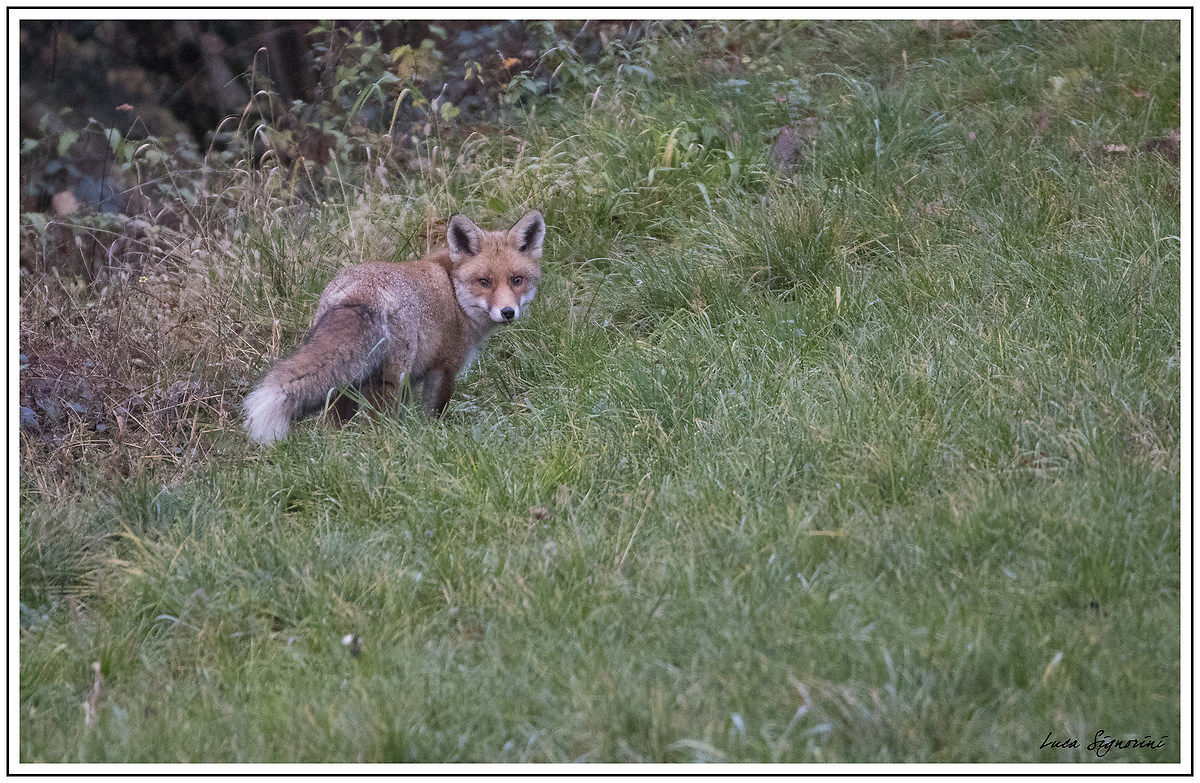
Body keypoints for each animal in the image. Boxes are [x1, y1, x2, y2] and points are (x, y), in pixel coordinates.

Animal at [243, 209, 545, 444]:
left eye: (517, 280)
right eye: (484, 282)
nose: (508, 312)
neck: (453, 294)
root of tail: (359, 292)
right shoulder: (444, 367)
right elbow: (434, 413)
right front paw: (434, 436)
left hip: (347, 382)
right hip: (391, 380)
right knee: (376, 426)